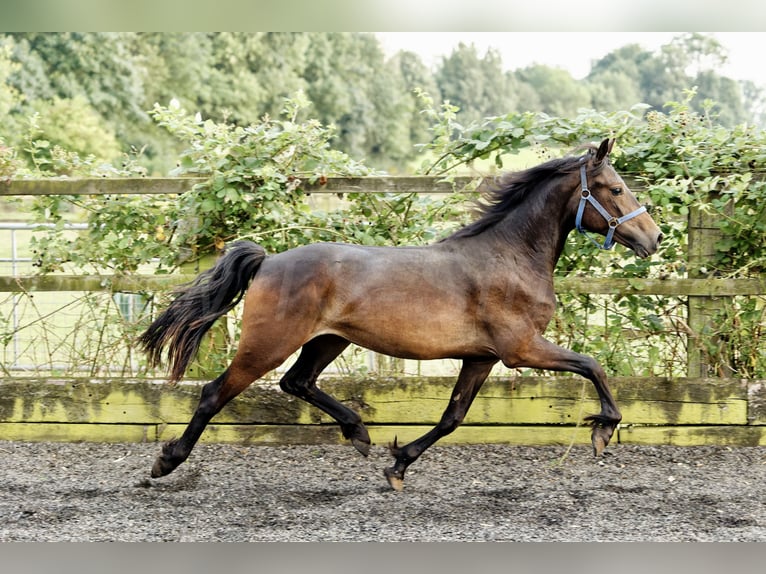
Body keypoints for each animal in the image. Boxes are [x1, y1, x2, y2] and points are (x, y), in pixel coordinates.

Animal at [140, 138, 664, 490]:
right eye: (615, 189)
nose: (653, 238)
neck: (509, 256)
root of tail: (268, 261)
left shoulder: (482, 357)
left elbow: (453, 417)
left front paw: (397, 465)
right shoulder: (520, 349)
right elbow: (592, 365)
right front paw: (603, 431)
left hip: (329, 339)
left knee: (297, 382)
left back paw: (359, 433)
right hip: (269, 343)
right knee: (216, 393)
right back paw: (166, 462)